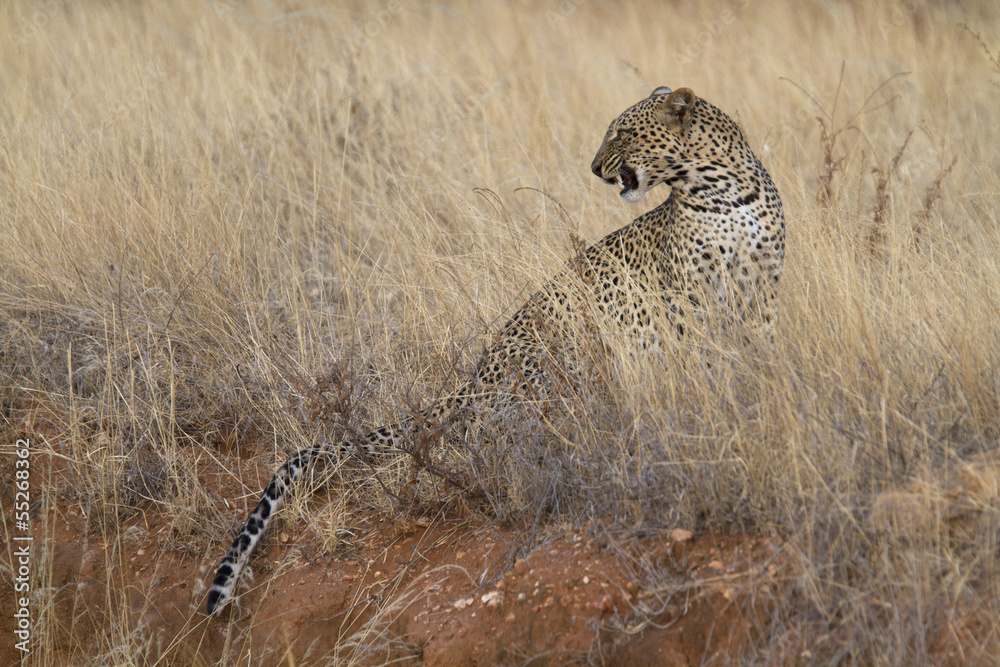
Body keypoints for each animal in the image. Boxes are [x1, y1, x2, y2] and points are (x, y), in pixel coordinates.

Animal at [206, 86, 785, 616]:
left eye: (622, 133)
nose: (594, 168)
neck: (720, 191)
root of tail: (473, 378)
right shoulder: (687, 304)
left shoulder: (761, 298)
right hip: (547, 359)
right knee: (498, 433)